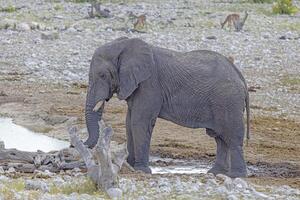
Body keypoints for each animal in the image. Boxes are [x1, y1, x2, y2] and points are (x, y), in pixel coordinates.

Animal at [83, 37, 250, 178]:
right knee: (220, 138)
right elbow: (129, 122)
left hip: (228, 101)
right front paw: (129, 166)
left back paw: (236, 175)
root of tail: (240, 76)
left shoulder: (150, 84)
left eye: (102, 75)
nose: (83, 143)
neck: (124, 45)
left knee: (232, 137)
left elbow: (139, 122)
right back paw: (215, 173)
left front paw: (141, 170)